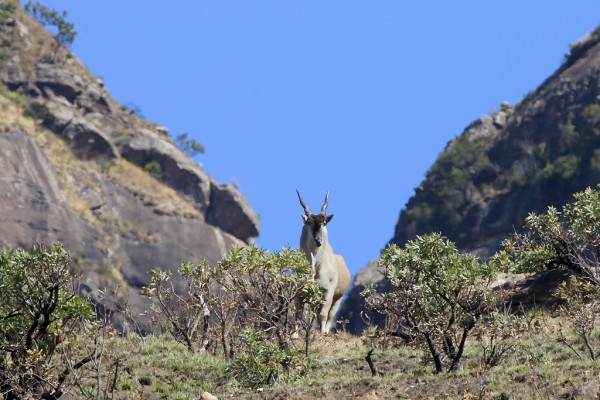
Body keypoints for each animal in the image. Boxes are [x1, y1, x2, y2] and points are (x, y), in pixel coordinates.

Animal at [296, 191, 352, 334]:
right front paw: (294, 335)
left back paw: (326, 331)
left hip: (338, 298)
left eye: (324, 223)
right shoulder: (301, 291)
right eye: (309, 222)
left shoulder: (328, 291)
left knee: (330, 314)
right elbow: (298, 313)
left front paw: (322, 333)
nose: (318, 240)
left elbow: (323, 314)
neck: (316, 268)